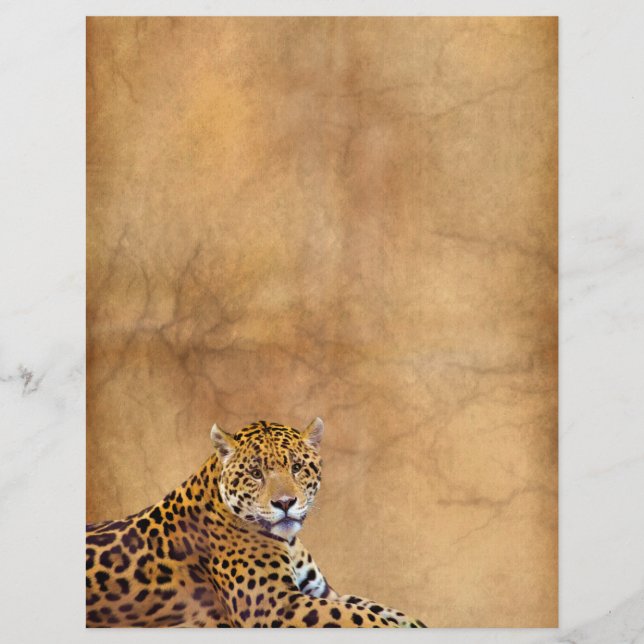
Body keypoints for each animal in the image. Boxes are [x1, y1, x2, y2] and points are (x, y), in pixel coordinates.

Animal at [86, 418, 427, 628]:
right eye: (255, 473)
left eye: (297, 467)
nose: (285, 503)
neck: (289, 542)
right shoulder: (275, 604)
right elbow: (361, 618)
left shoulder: (322, 592)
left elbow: (376, 608)